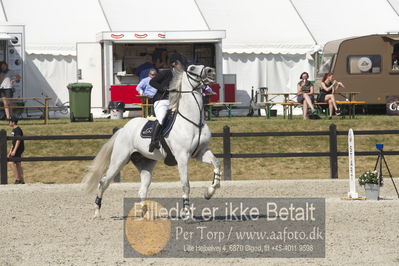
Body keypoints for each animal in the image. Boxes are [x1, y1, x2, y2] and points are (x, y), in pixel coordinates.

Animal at [82, 64, 222, 218]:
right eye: (192, 68)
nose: (210, 71)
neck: (194, 122)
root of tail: (123, 129)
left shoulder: (201, 152)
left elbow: (217, 164)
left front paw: (209, 192)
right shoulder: (182, 157)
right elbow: (185, 185)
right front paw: (187, 213)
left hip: (146, 164)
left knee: (142, 189)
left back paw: (144, 214)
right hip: (119, 160)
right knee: (103, 182)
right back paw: (97, 212)